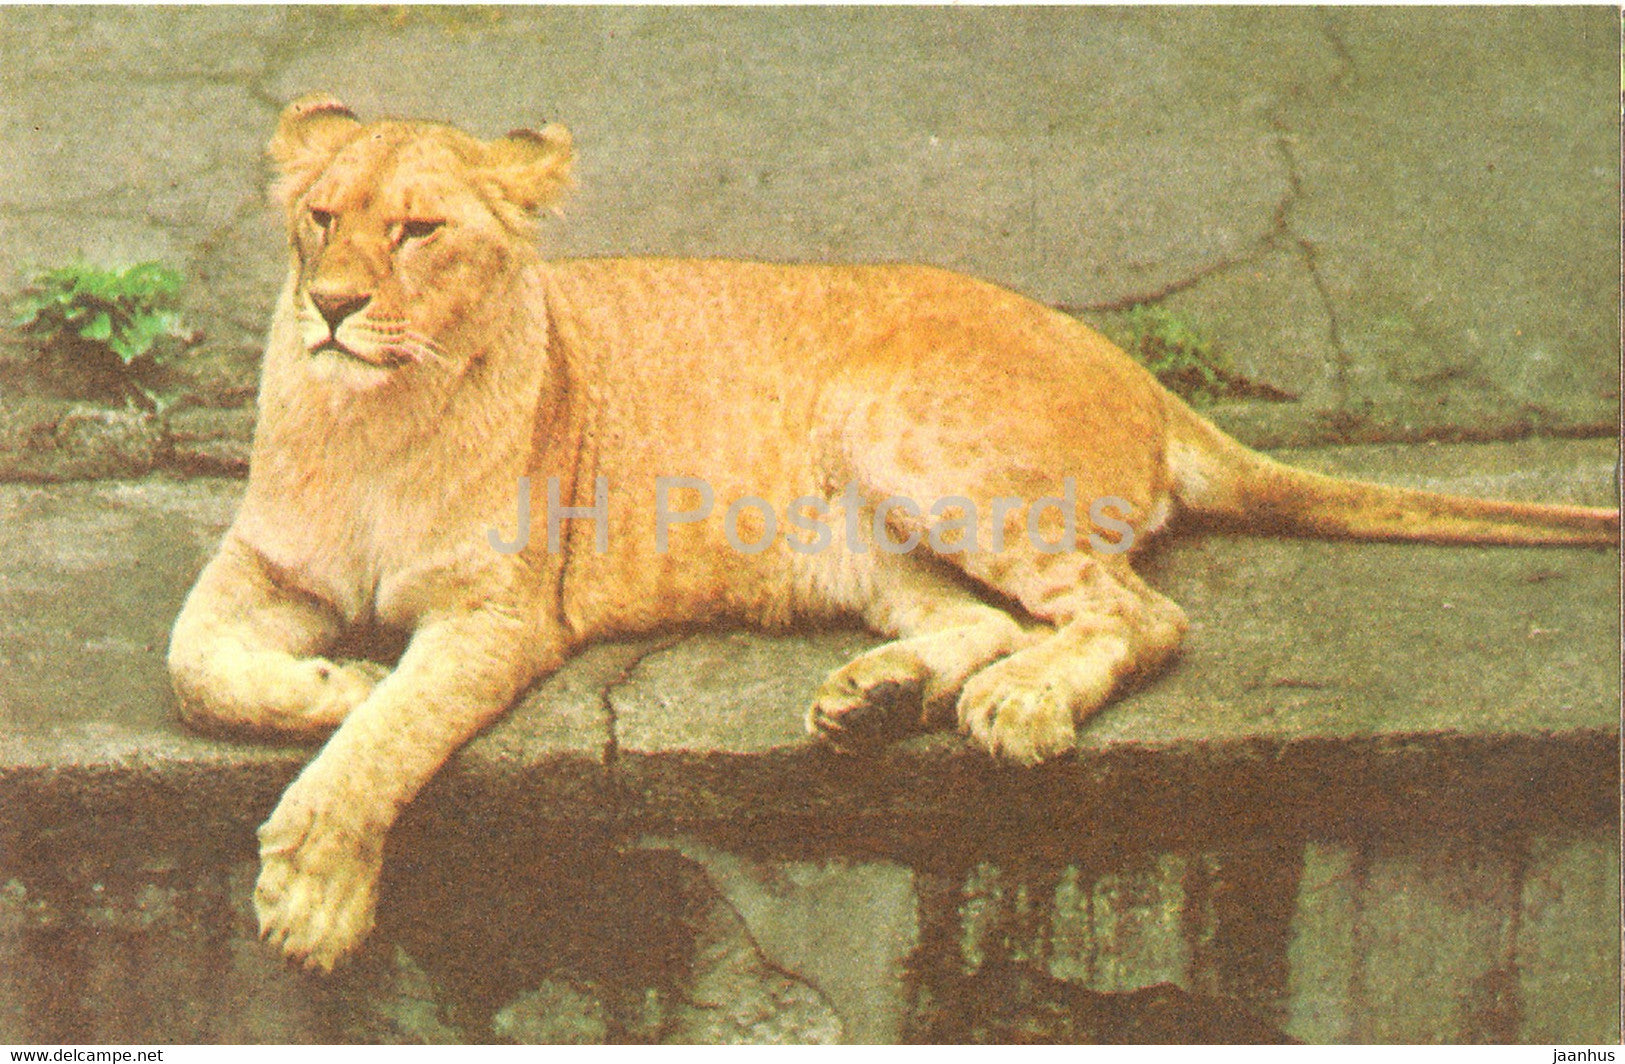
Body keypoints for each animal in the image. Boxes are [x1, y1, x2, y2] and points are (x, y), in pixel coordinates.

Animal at [167, 94, 1619, 971]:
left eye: (418, 229)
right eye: (319, 218)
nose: (332, 306)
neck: (373, 418)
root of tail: (1143, 376)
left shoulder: (503, 613)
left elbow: (392, 737)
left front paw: (311, 888)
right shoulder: (263, 559)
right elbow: (195, 665)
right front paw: (322, 681)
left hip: (902, 425)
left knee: (1137, 612)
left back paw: (1016, 707)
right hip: (869, 542)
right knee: (979, 617)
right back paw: (874, 700)